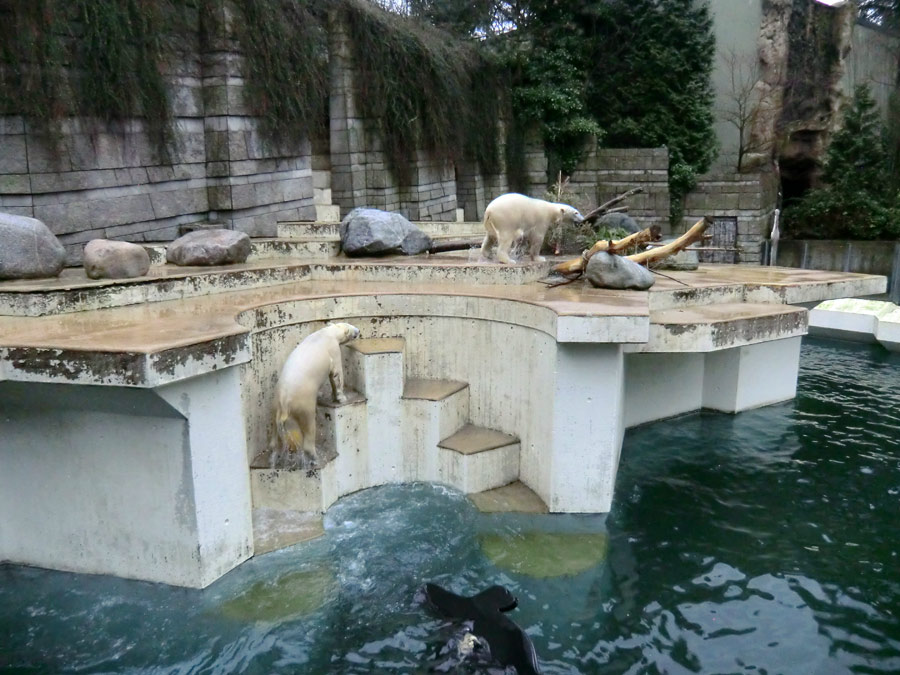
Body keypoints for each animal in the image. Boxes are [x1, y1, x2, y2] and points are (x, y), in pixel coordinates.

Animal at [272, 322, 360, 464]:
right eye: (351, 328)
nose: (359, 330)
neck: (327, 332)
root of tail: (284, 402)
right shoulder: (333, 349)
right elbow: (336, 374)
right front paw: (341, 397)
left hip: (275, 407)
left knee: (276, 436)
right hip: (303, 403)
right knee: (309, 425)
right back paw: (314, 456)